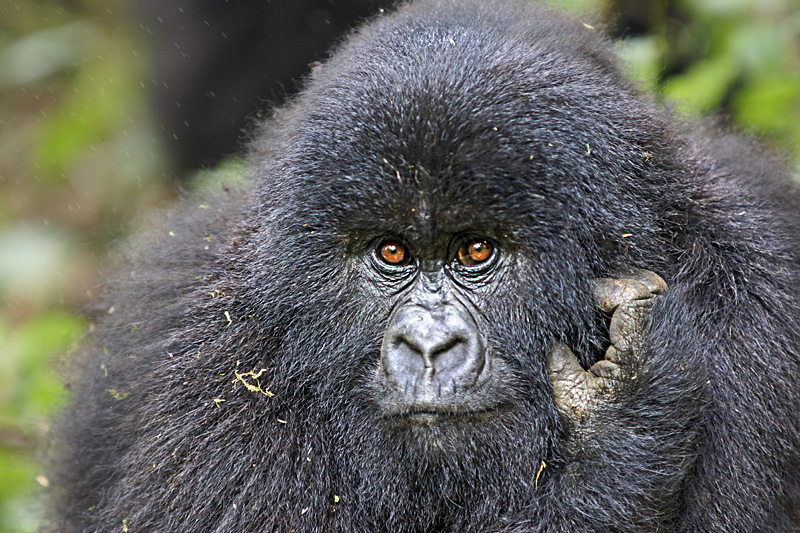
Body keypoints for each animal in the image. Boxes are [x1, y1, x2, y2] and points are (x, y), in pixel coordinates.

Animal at [54, 1, 800, 532]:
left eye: (477, 251)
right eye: (392, 252)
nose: (428, 346)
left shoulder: (755, 334)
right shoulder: (226, 372)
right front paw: (624, 429)